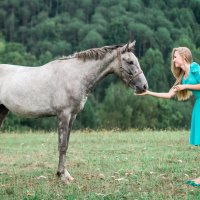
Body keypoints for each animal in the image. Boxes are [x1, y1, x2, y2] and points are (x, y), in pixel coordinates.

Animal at [0, 41, 147, 184]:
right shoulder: (63, 114)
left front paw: (65, 174)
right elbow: (62, 145)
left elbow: (66, 145)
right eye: (130, 61)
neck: (75, 76)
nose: (144, 86)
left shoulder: (72, 116)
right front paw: (62, 176)